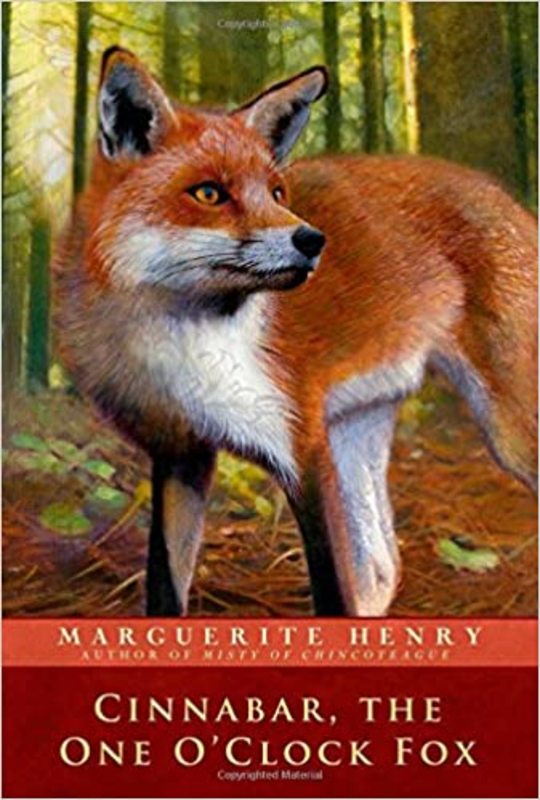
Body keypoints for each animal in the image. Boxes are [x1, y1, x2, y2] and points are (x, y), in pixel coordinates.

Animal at [55, 46, 537, 618]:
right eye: (209, 193)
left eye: (277, 191)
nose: (312, 240)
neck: (179, 345)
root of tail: (504, 195)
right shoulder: (179, 455)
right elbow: (165, 591)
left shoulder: (301, 449)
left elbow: (330, 593)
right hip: (356, 433)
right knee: (382, 570)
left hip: (509, 433)